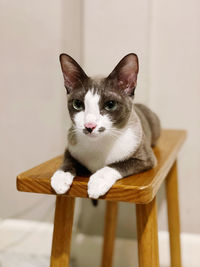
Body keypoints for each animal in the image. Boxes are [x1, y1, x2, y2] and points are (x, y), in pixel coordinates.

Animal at [50, 52, 161, 199]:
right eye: (77, 104)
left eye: (110, 105)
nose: (89, 126)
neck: (99, 143)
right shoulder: (71, 145)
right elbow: (67, 159)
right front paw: (61, 177)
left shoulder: (146, 158)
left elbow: (119, 164)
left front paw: (98, 181)